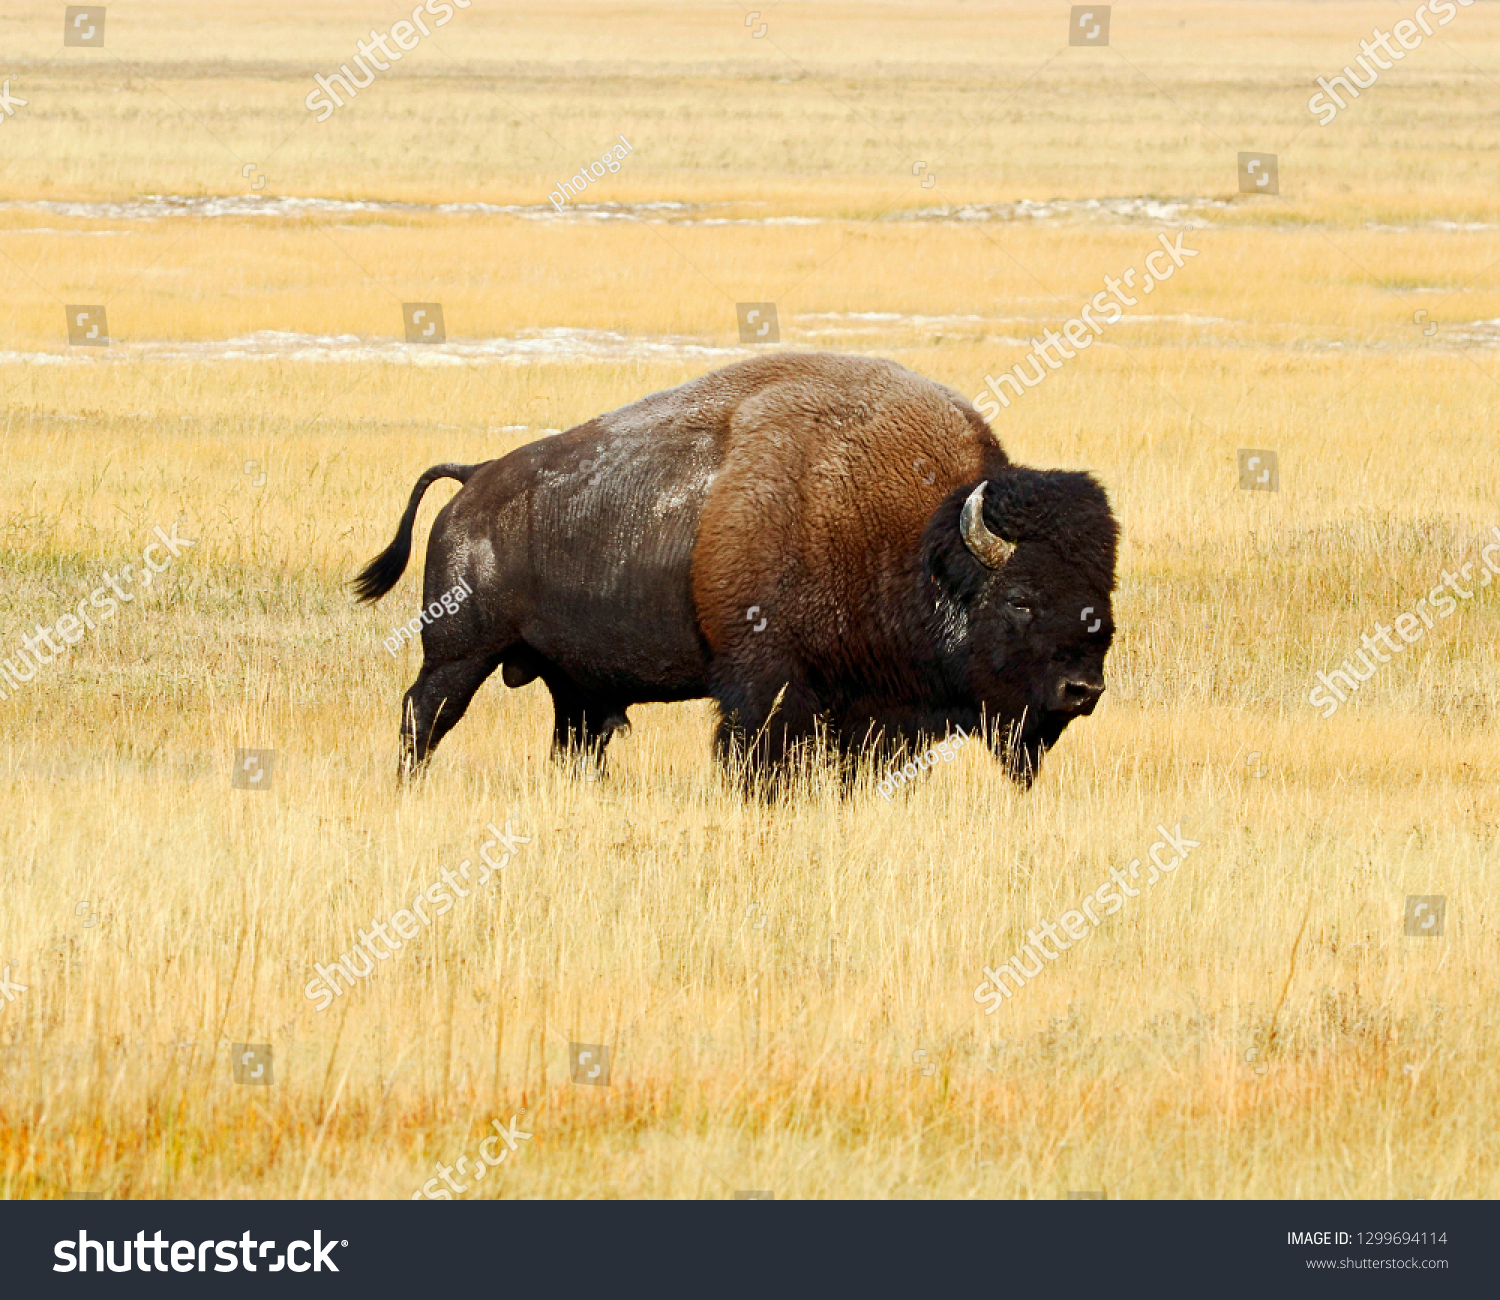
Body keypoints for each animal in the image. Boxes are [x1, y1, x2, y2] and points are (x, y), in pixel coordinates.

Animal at [357, 350, 1122, 785]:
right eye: (1020, 597)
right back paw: (407, 786)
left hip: (569, 683)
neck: (918, 544)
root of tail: (475, 478)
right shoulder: (765, 685)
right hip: (459, 652)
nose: (1082, 689)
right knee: (424, 715)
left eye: (1103, 601)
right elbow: (754, 758)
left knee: (572, 740)